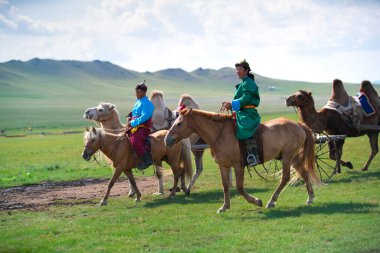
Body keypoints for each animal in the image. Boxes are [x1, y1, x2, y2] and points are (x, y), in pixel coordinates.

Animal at [165, 108, 320, 213]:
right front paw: (224, 206)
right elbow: (225, 186)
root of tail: (298, 124)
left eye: (179, 124)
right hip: (292, 157)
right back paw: (310, 197)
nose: (167, 139)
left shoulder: (238, 165)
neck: (220, 134)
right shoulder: (223, 165)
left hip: (288, 157)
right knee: (304, 172)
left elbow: (239, 188)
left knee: (286, 177)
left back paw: (271, 201)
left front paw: (256, 201)